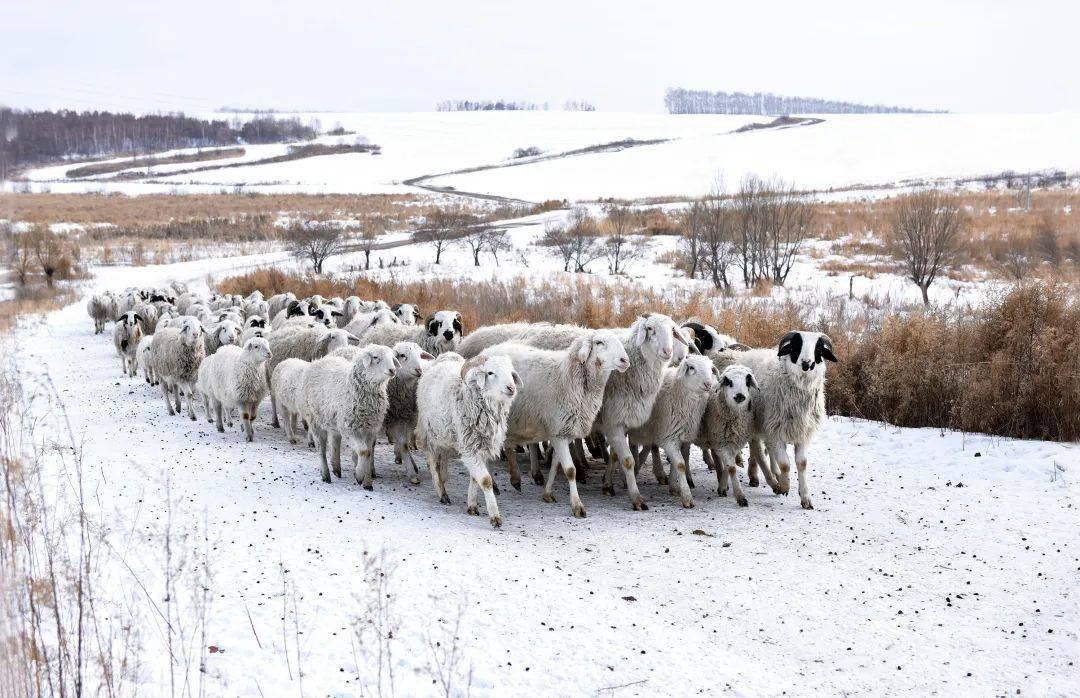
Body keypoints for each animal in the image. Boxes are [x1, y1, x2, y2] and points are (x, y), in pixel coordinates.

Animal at [302, 343, 399, 486]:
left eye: (392, 358)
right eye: (376, 357)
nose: (392, 370)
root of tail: (319, 360)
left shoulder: (370, 429)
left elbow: (368, 452)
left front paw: (367, 481)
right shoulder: (350, 429)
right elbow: (363, 451)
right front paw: (359, 475)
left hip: (335, 420)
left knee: (335, 440)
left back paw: (336, 468)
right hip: (316, 419)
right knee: (321, 448)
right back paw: (325, 474)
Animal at [414, 352, 520, 527]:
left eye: (511, 373)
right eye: (490, 372)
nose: (511, 388)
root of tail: (444, 357)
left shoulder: (481, 447)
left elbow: (475, 478)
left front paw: (472, 505)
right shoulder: (470, 447)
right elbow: (485, 480)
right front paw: (495, 517)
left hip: (445, 435)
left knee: (443, 458)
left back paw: (444, 479)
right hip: (430, 433)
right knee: (432, 462)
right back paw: (441, 493)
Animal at [483, 330, 630, 516]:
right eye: (599, 342)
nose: (625, 361)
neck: (567, 378)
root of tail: (489, 350)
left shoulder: (563, 432)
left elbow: (555, 464)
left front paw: (547, 493)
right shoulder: (558, 431)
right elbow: (570, 470)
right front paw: (577, 505)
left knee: (508, 446)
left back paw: (515, 479)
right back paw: (495, 484)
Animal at [626, 356, 717, 507]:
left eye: (711, 368)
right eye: (691, 368)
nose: (708, 384)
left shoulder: (680, 436)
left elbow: (677, 462)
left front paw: (674, 488)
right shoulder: (669, 437)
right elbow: (680, 464)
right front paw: (687, 497)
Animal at [734, 330, 833, 512]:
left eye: (818, 349)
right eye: (796, 345)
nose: (807, 363)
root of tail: (752, 352)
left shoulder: (801, 433)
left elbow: (801, 463)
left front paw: (805, 498)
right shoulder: (776, 432)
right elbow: (785, 464)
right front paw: (785, 487)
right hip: (756, 424)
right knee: (758, 450)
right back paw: (763, 477)